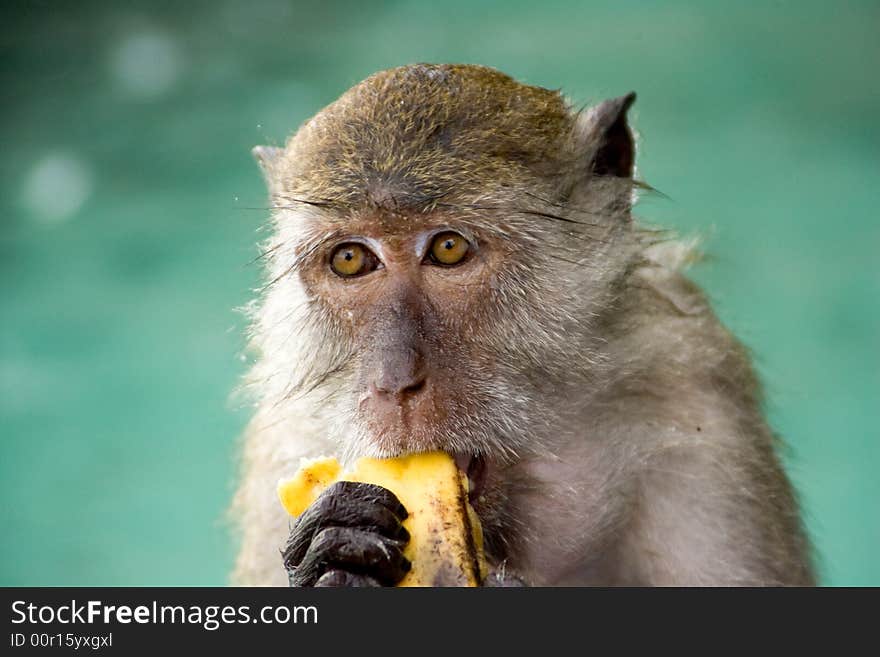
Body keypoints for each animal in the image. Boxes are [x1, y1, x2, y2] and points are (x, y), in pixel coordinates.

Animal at [230, 61, 816, 584]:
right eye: (351, 259)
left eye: (448, 249)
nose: (393, 382)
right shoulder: (283, 442)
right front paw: (333, 556)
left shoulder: (701, 415)